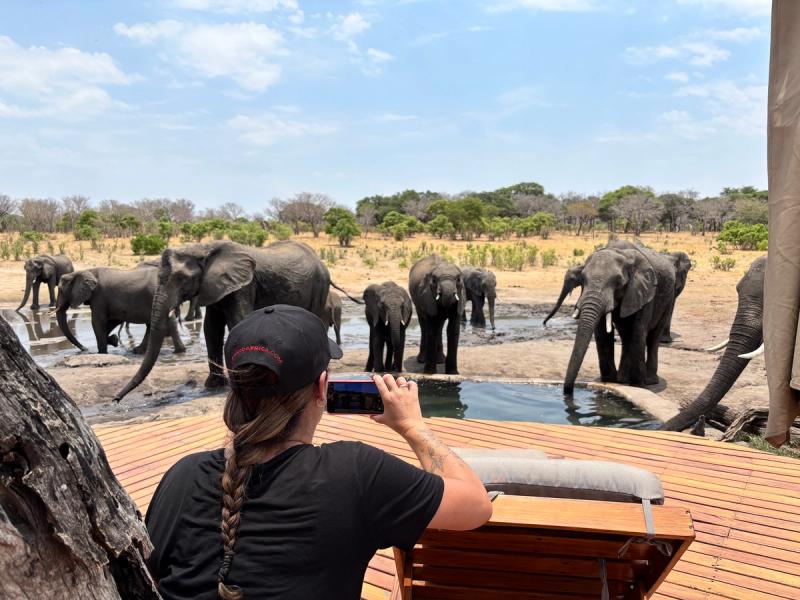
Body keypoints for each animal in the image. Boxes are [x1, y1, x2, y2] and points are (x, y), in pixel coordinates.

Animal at [56, 267, 186, 355]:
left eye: (61, 290)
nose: (85, 349)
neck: (84, 271)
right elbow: (112, 321)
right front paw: (113, 340)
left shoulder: (99, 297)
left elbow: (97, 322)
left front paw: (102, 353)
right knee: (151, 325)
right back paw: (138, 351)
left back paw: (179, 352)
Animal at [114, 240, 350, 402]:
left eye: (181, 279)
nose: (116, 399)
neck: (204, 249)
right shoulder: (214, 288)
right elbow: (211, 329)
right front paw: (213, 386)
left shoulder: (243, 286)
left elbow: (239, 321)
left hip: (320, 286)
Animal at [552, 241, 676, 394]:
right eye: (582, 279)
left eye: (618, 282)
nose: (568, 393)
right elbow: (602, 334)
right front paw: (609, 381)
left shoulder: (644, 292)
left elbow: (638, 331)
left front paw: (638, 386)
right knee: (625, 336)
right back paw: (622, 379)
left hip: (669, 298)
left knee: (653, 337)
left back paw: (649, 381)